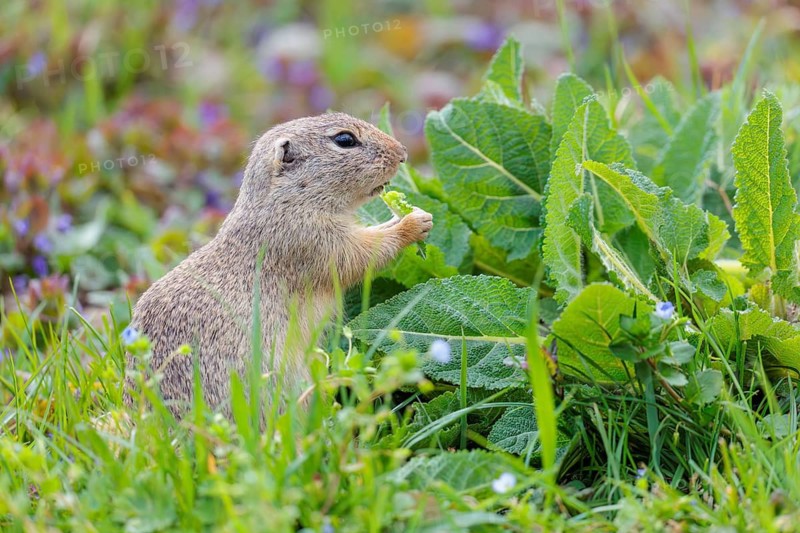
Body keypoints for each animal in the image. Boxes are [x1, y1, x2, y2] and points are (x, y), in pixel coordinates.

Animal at [126, 112, 432, 417]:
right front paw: (413, 223)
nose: (402, 153)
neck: (285, 200)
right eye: (344, 139)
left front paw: (412, 213)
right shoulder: (312, 240)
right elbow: (362, 254)